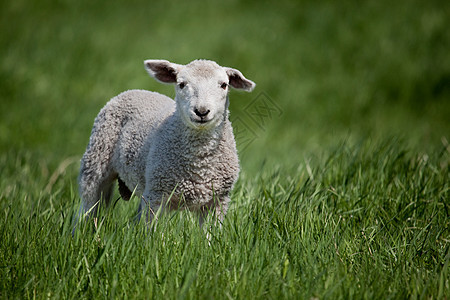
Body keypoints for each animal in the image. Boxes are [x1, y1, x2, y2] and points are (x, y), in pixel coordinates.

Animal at [75, 58, 255, 229]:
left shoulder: (218, 201)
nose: (202, 111)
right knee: (86, 207)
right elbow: (151, 232)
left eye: (224, 85)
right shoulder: (157, 195)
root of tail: (136, 91)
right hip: (96, 161)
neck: (200, 164)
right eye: (181, 84)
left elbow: (210, 233)